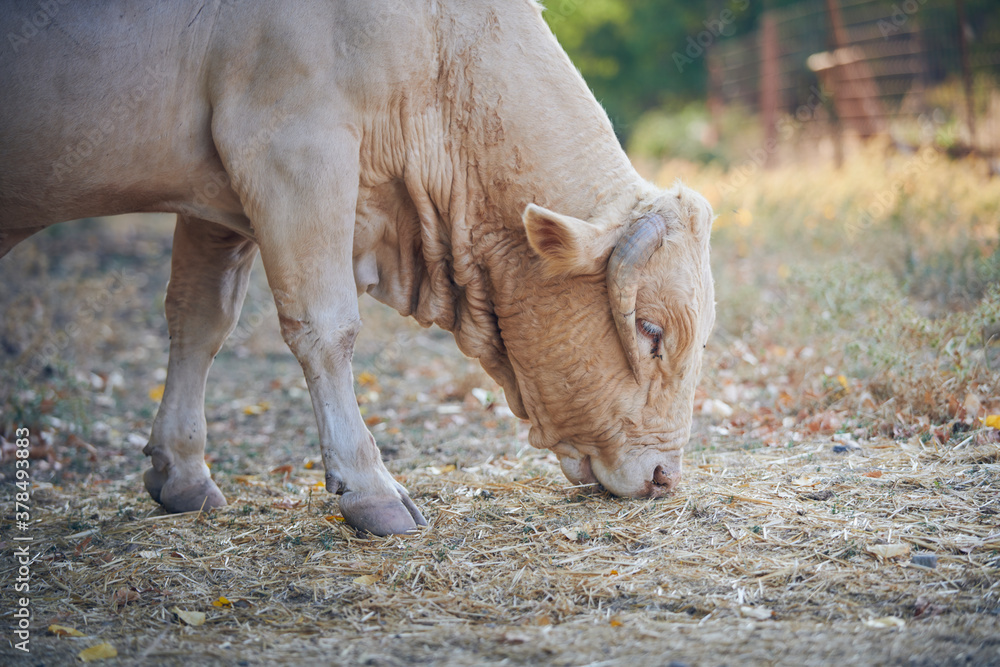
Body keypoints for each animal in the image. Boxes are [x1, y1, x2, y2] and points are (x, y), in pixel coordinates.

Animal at [0, 0, 715, 535]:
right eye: (651, 330)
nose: (665, 477)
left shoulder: (218, 198)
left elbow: (200, 319)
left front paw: (182, 474)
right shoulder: (292, 152)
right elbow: (326, 326)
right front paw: (370, 488)